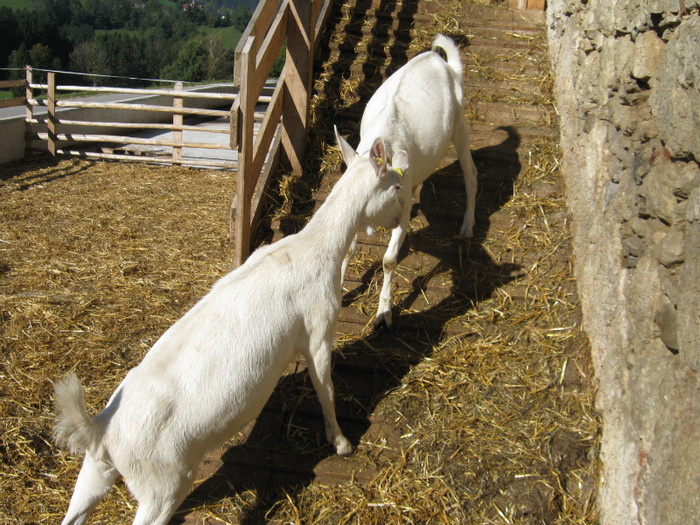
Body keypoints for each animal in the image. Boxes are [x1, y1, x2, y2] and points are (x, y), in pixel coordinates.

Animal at [54, 136, 408, 524]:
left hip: (95, 471)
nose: (402, 217)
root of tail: (102, 431)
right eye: (396, 186)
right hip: (162, 485)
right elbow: (325, 390)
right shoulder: (317, 330)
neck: (314, 247)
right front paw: (342, 442)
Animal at [342, 33, 478, 328]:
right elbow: (347, 249)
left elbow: (389, 260)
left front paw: (384, 312)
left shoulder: (399, 211)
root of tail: (440, 60)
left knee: (471, 173)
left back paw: (467, 226)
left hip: (459, 121)